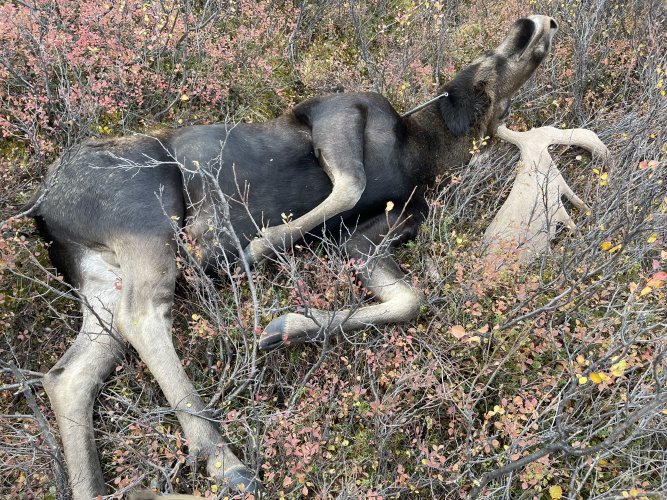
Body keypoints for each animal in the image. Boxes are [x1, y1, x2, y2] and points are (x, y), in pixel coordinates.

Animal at [25, 15, 559, 498]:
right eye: (491, 64)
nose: (542, 23)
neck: (419, 151)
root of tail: (42, 208)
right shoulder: (333, 111)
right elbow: (352, 184)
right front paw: (257, 246)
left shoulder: (364, 237)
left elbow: (410, 299)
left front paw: (287, 327)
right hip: (148, 217)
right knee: (142, 315)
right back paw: (224, 461)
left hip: (102, 275)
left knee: (70, 374)